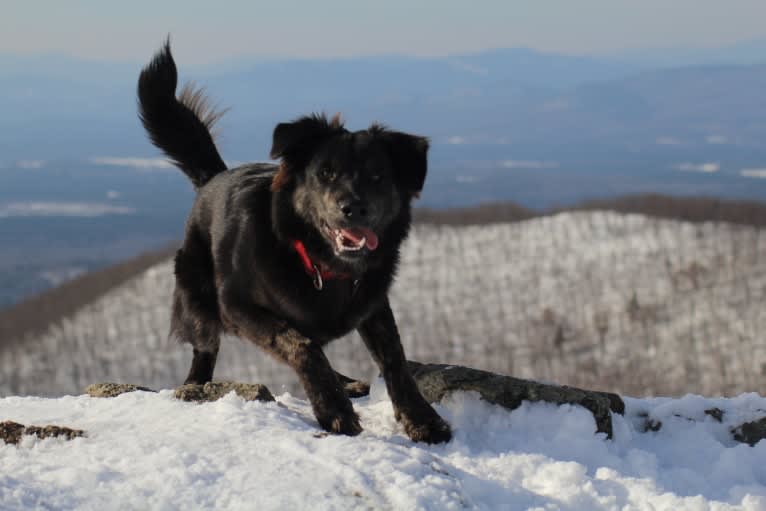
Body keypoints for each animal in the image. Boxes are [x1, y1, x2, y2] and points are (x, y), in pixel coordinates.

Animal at [138, 43, 452, 444]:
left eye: (377, 176)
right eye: (325, 173)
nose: (353, 207)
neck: (321, 262)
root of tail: (213, 178)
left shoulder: (374, 303)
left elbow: (394, 359)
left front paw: (422, 419)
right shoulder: (237, 306)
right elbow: (300, 344)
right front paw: (333, 410)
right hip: (200, 299)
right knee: (206, 346)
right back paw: (196, 384)